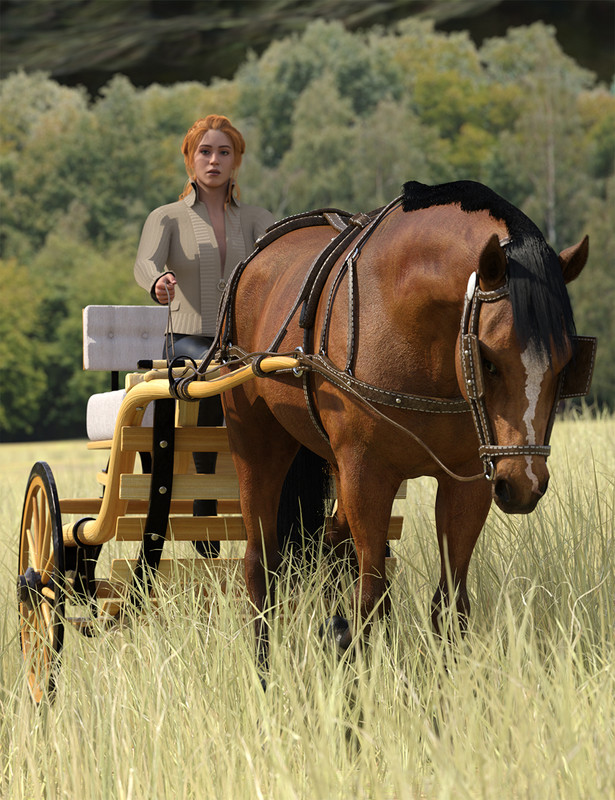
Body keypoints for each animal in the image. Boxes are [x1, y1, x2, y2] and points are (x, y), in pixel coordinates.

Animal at [180, 180, 596, 668]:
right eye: (488, 360)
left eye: (566, 365)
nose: (525, 483)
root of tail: (253, 261)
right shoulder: (367, 472)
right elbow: (370, 599)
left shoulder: (470, 479)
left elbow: (449, 604)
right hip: (256, 439)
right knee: (260, 561)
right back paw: (265, 667)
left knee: (332, 544)